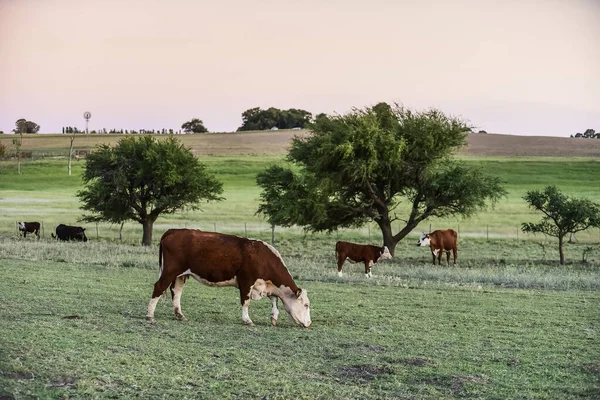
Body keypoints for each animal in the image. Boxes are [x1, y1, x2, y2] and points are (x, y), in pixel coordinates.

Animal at [147, 228, 312, 328]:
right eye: (306, 305)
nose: (309, 323)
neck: (262, 257)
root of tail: (174, 231)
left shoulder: (266, 285)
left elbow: (274, 299)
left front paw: (274, 317)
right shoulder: (246, 281)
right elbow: (246, 302)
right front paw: (248, 320)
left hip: (180, 275)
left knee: (176, 292)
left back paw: (180, 315)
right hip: (170, 271)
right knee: (159, 287)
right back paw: (150, 315)